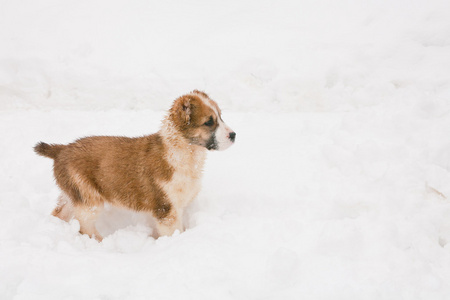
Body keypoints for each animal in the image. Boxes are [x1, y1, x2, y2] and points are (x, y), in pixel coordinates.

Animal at [34, 90, 236, 240]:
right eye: (209, 122)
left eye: (221, 116)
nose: (234, 135)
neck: (183, 150)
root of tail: (61, 149)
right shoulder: (166, 210)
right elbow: (174, 232)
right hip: (88, 200)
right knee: (85, 227)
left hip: (73, 194)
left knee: (59, 213)